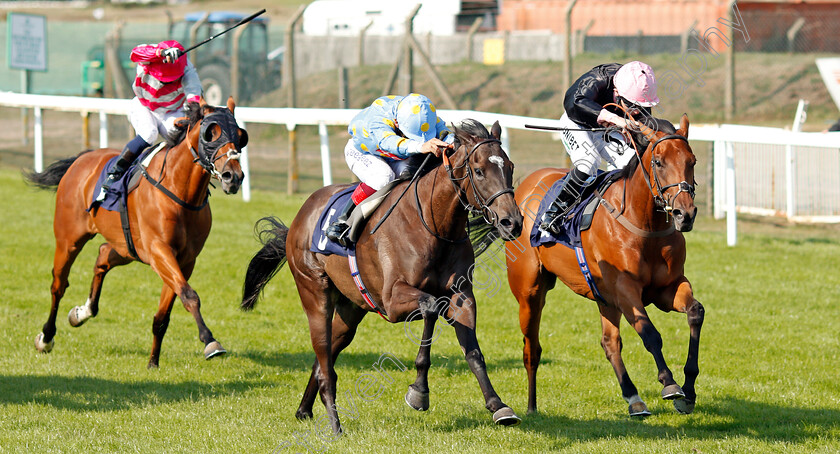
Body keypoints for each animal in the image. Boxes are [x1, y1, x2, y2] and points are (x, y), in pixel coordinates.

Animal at [23, 96, 246, 368]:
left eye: (240, 135)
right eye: (210, 134)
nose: (232, 176)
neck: (181, 192)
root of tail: (82, 159)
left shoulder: (185, 259)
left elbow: (165, 313)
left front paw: (153, 362)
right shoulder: (160, 250)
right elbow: (188, 294)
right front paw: (210, 341)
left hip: (127, 247)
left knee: (103, 256)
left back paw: (82, 313)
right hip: (69, 239)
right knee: (58, 284)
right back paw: (46, 337)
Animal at [506, 115, 704, 416]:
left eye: (692, 161)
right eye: (659, 162)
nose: (685, 214)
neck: (645, 224)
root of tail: (527, 184)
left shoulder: (667, 288)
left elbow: (695, 312)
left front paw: (689, 390)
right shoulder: (625, 290)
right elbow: (649, 333)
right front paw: (670, 384)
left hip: (604, 297)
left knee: (610, 342)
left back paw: (634, 398)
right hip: (530, 292)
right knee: (532, 349)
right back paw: (531, 407)